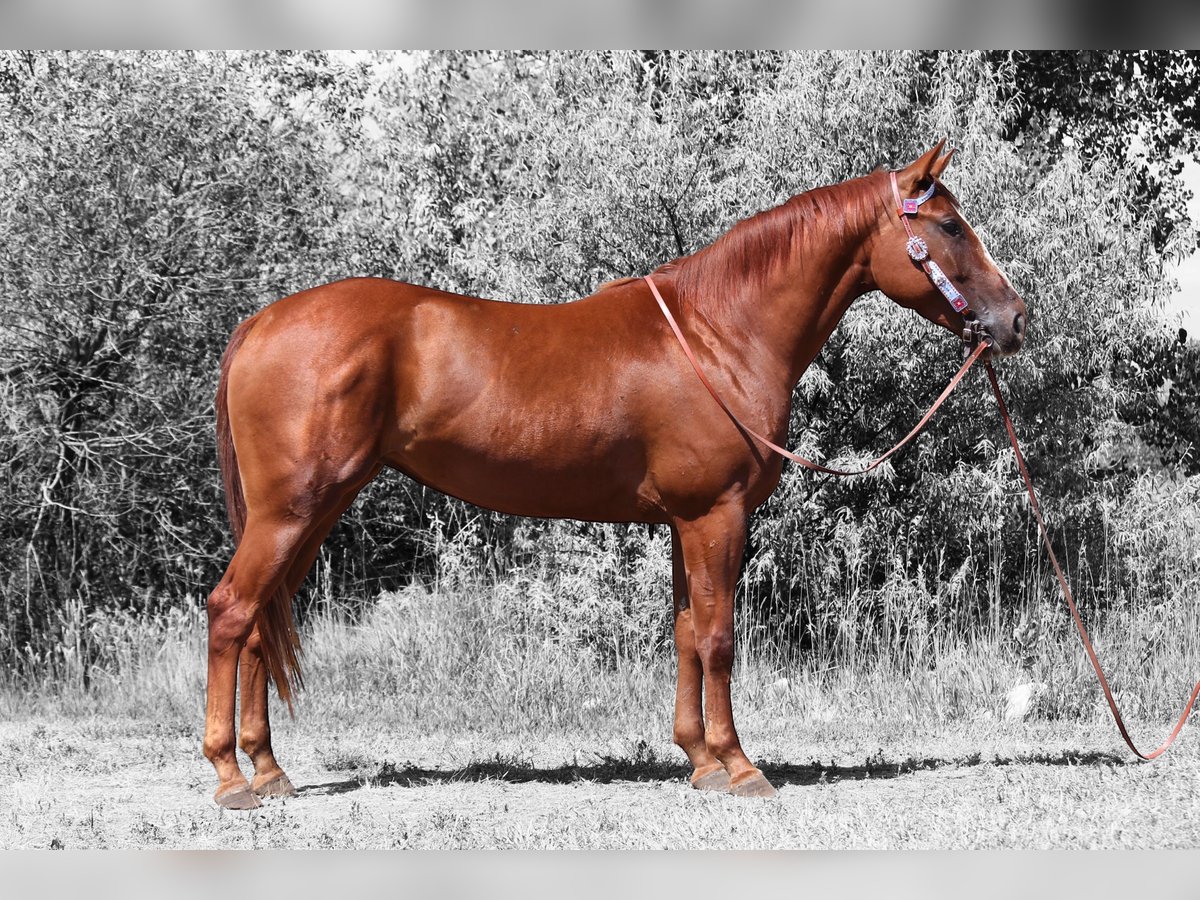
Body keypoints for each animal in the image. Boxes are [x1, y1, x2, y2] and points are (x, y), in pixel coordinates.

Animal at [202, 141, 1027, 807]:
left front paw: (700, 761)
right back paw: (231, 777)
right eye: (950, 226)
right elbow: (720, 637)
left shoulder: (684, 522)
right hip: (291, 511)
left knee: (259, 624)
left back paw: (269, 771)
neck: (718, 331)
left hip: (314, 509)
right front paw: (740, 767)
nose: (1015, 319)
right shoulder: (716, 514)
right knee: (232, 611)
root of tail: (263, 322)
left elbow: (687, 631)